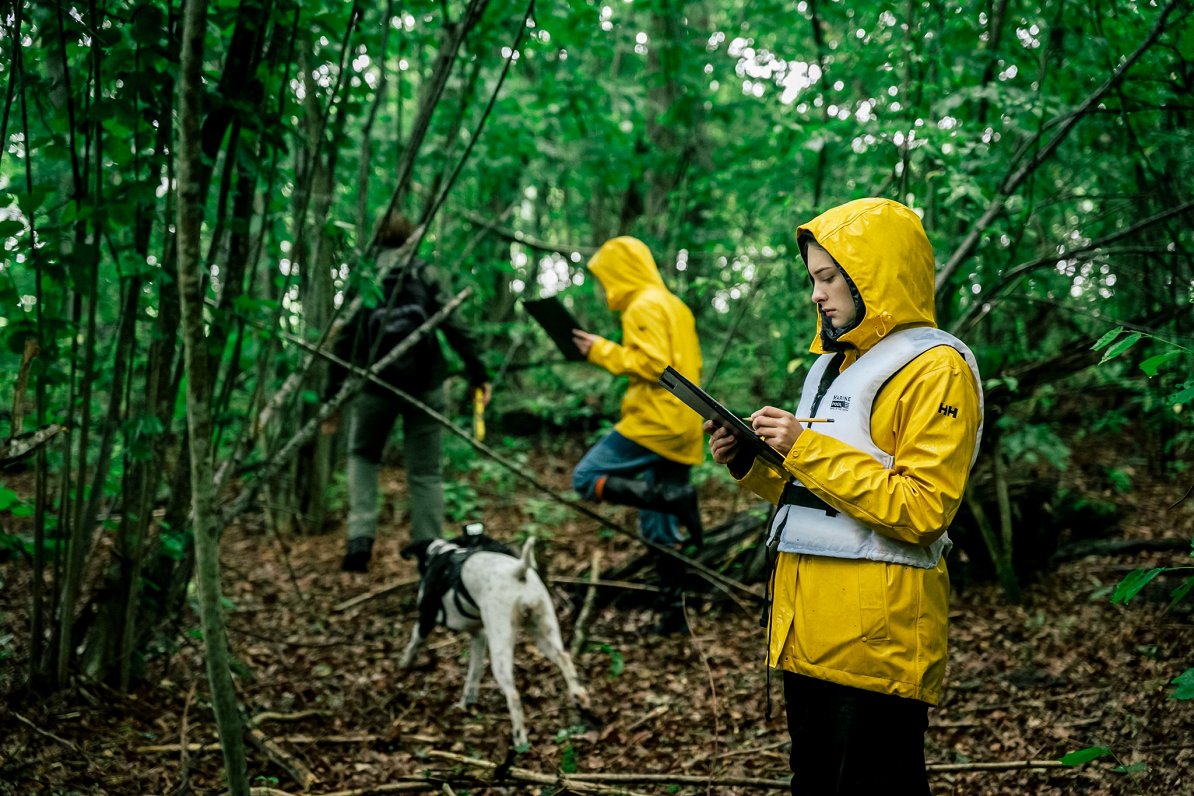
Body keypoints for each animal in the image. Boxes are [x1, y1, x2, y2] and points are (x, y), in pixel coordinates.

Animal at [398, 532, 589, 749]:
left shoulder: (426, 619)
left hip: (501, 645)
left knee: (513, 694)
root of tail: (518, 571)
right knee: (564, 657)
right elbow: (473, 674)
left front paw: (404, 663)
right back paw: (579, 696)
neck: (441, 552)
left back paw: (520, 739)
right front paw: (465, 703)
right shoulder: (478, 636)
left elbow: (413, 643)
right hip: (544, 630)